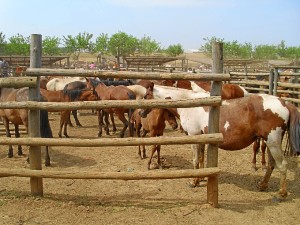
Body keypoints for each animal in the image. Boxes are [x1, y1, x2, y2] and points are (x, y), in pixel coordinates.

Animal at [146, 83, 300, 199]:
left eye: (146, 95)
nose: (142, 113)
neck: (191, 104)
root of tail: (284, 102)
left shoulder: (194, 136)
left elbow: (196, 160)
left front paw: (194, 181)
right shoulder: (201, 138)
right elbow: (201, 159)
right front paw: (202, 178)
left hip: (273, 142)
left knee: (282, 165)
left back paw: (281, 193)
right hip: (269, 142)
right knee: (272, 164)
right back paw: (263, 185)